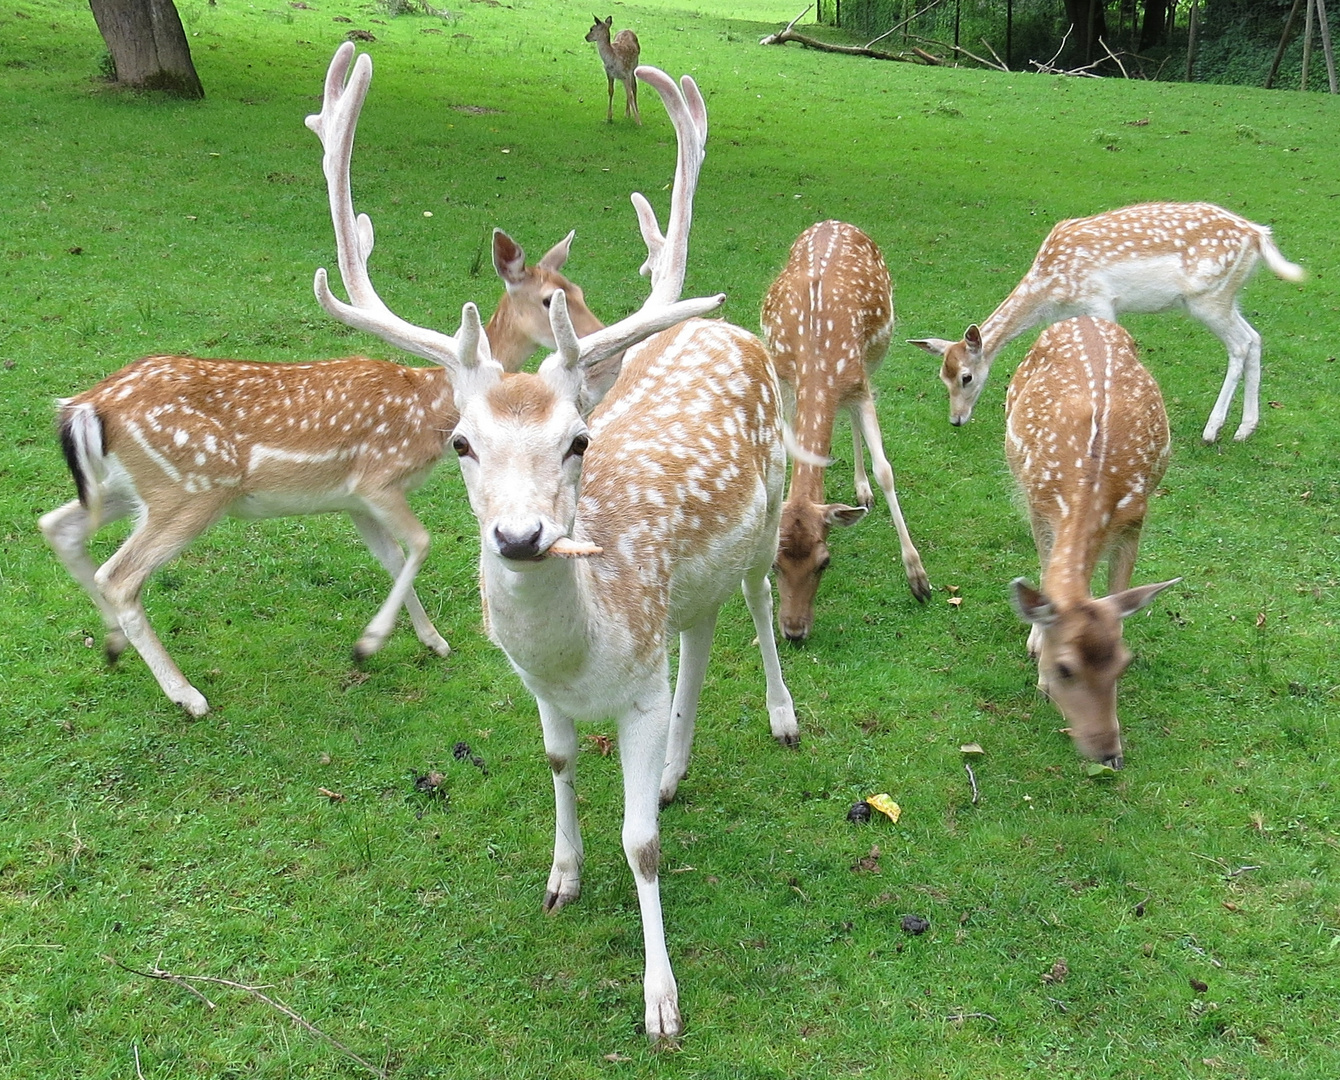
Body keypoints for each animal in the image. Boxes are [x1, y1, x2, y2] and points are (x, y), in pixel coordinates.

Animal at [38, 226, 603, 718]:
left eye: (577, 288)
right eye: (552, 299)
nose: (597, 343)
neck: (433, 404)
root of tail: (84, 407)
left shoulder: (353, 500)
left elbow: (393, 557)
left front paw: (433, 641)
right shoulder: (378, 479)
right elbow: (421, 544)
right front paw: (370, 643)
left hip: (126, 488)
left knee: (57, 526)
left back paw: (112, 643)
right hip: (190, 489)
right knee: (119, 575)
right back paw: (187, 695)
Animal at [309, 44, 798, 1050]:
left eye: (578, 440)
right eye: (461, 443)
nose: (522, 536)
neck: (583, 655)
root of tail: (722, 323)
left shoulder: (638, 683)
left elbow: (641, 843)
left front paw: (661, 1001)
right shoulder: (544, 689)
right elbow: (561, 766)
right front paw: (562, 878)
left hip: (772, 505)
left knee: (759, 600)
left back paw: (781, 717)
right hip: (692, 583)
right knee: (700, 631)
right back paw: (679, 771)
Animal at [766, 221, 932, 643]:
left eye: (825, 562)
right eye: (774, 564)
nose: (793, 631)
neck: (817, 356)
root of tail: (832, 223)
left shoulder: (858, 381)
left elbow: (885, 470)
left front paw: (918, 579)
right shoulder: (786, 382)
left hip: (875, 355)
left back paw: (863, 490)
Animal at [905, 200, 1302, 442]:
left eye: (966, 377)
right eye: (941, 376)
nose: (956, 419)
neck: (1049, 292)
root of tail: (1258, 235)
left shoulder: (1099, 300)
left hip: (1209, 298)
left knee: (1240, 344)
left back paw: (1212, 430)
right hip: (1226, 296)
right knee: (1255, 338)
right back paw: (1245, 429)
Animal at [1007, 317, 1184, 771]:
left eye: (1123, 663)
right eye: (1064, 669)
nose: (1108, 753)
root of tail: (1085, 318)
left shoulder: (1135, 517)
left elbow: (1117, 599)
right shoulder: (1038, 504)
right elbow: (1046, 570)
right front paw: (1037, 658)